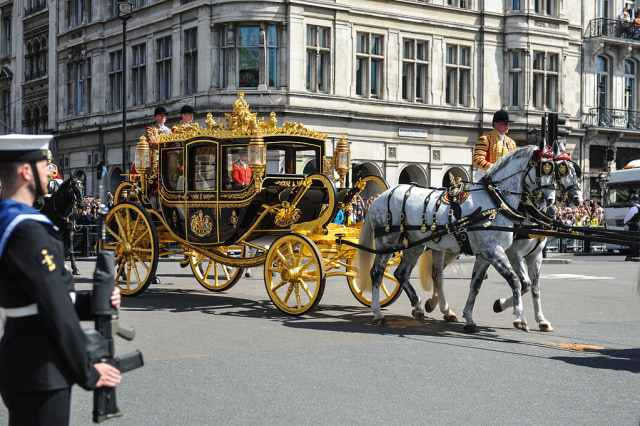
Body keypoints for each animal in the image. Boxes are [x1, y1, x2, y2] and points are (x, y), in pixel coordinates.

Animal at [358, 146, 548, 326]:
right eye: (546, 168)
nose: (549, 200)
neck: (495, 202)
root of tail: (380, 197)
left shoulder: (501, 254)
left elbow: (522, 285)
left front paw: (539, 319)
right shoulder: (501, 252)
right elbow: (519, 282)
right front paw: (517, 314)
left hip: (418, 245)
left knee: (408, 274)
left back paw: (424, 307)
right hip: (387, 242)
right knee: (377, 273)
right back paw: (378, 313)